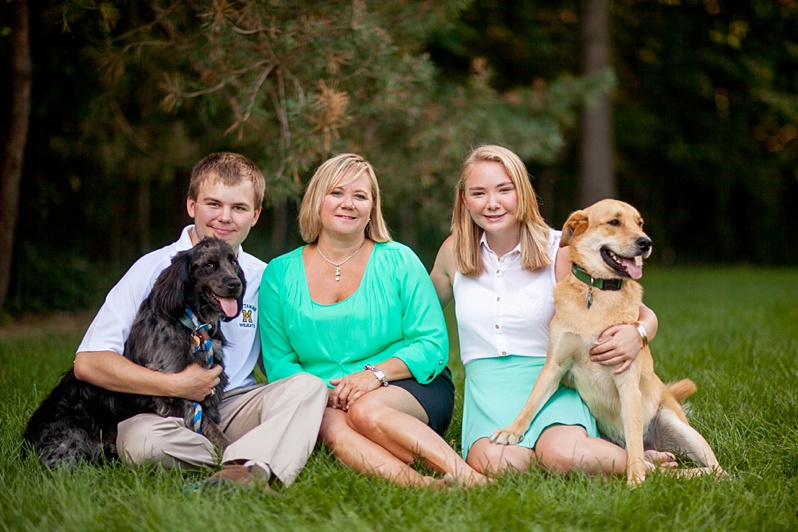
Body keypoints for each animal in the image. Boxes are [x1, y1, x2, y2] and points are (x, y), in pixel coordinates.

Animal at [23, 237, 245, 466]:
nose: (235, 284)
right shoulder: (179, 392)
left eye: (233, 262)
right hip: (68, 447)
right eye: (209, 264)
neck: (195, 327)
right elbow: (213, 430)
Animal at [494, 200, 724, 486]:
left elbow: (634, 445)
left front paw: (635, 481)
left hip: (679, 427)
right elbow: (531, 402)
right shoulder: (554, 366)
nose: (646, 243)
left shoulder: (627, 381)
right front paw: (512, 429)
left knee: (716, 470)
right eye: (614, 222)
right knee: (651, 457)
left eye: (640, 223)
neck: (598, 291)